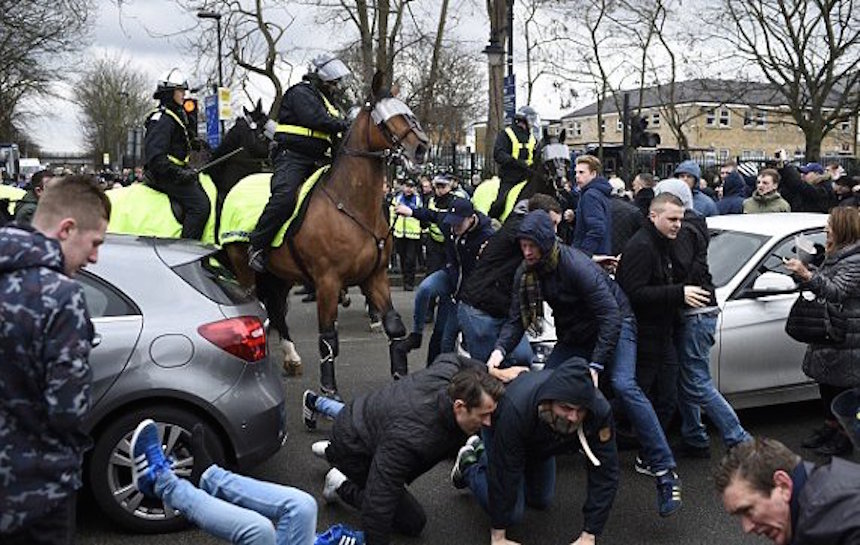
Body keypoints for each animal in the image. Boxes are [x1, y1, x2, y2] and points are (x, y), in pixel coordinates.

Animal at [225, 72, 430, 396]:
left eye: (408, 111)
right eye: (387, 119)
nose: (421, 149)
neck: (351, 205)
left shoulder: (376, 276)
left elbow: (395, 326)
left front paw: (400, 375)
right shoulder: (327, 282)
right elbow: (327, 338)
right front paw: (329, 390)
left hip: (280, 275)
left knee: (276, 309)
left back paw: (291, 358)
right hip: (245, 269)